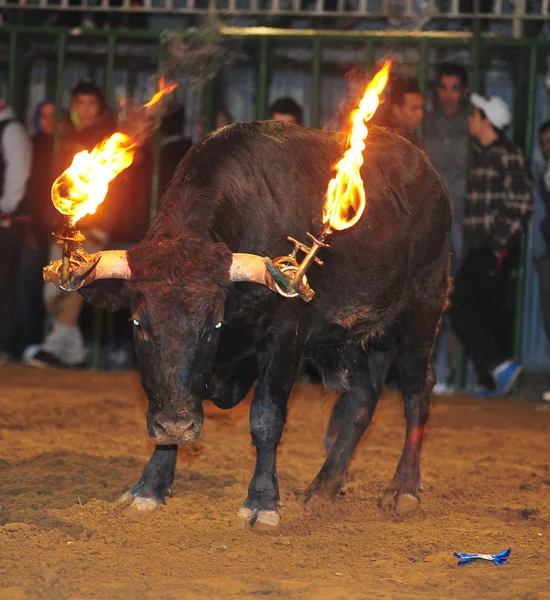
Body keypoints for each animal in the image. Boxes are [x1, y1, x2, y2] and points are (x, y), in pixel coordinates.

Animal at [49, 119, 452, 528]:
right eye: (137, 322)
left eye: (213, 325)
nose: (177, 424)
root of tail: (428, 174)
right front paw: (150, 487)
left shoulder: (285, 335)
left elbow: (266, 418)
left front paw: (262, 501)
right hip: (352, 336)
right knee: (362, 398)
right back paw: (323, 487)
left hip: (422, 310)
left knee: (417, 390)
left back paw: (403, 487)